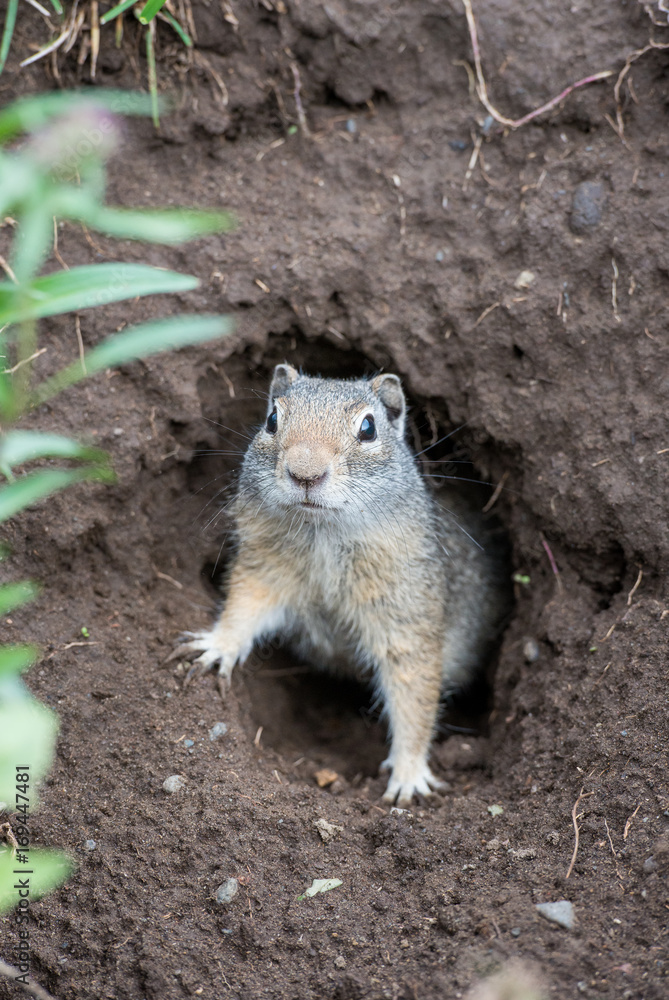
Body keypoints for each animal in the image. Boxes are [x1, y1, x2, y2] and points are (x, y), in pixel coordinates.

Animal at [176, 364, 510, 805]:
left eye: (368, 428)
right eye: (272, 419)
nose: (305, 474)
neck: (324, 535)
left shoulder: (407, 613)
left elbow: (414, 694)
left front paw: (409, 775)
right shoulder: (264, 569)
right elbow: (244, 607)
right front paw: (217, 645)